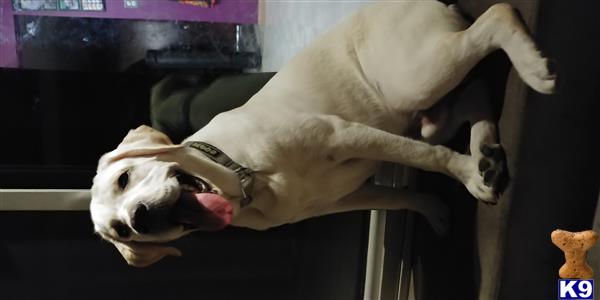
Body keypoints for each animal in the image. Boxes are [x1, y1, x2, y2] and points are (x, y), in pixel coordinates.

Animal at [90, 1, 556, 264]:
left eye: (125, 179)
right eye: (120, 233)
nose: (138, 218)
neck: (247, 178)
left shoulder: (341, 134)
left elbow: (428, 159)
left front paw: (467, 176)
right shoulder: (342, 198)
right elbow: (398, 196)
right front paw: (436, 207)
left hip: (414, 78)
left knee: (496, 17)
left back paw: (534, 70)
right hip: (419, 102)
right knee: (469, 95)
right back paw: (487, 149)